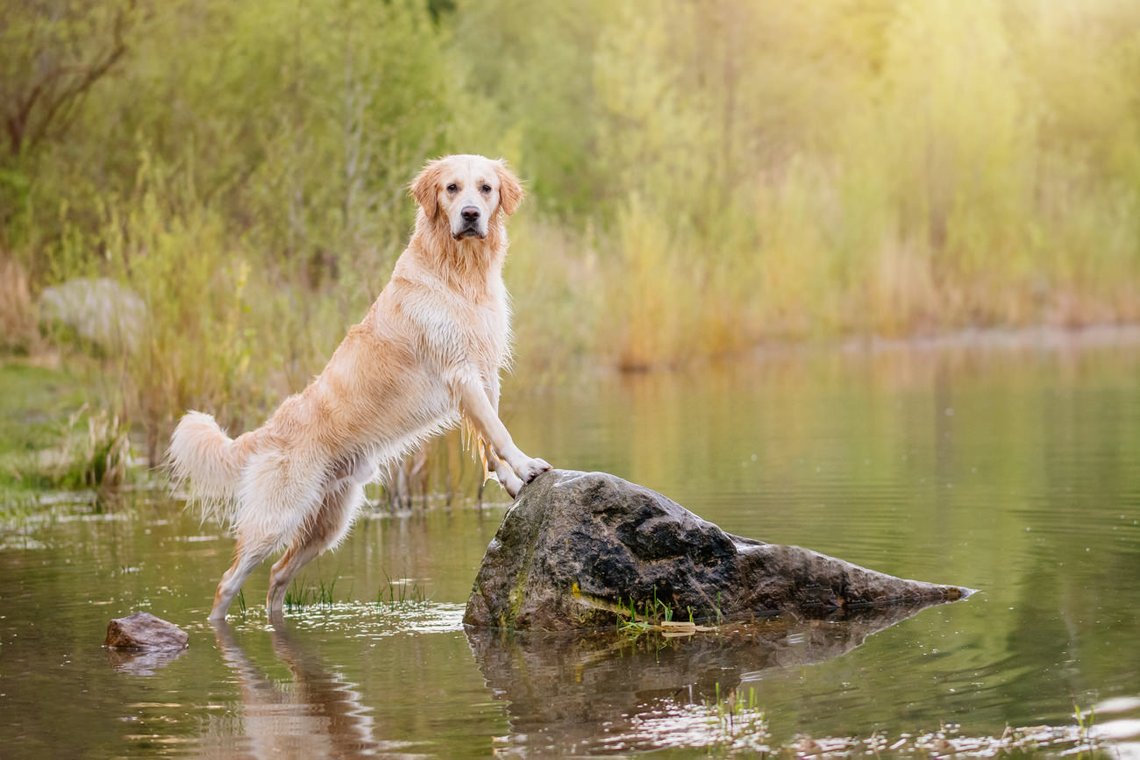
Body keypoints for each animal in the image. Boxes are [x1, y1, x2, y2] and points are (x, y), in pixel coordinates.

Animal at [167, 152, 551, 619]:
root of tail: (268, 430)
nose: (471, 215)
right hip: (275, 521)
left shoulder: (484, 371)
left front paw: (513, 483)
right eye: (452, 189)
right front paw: (528, 467)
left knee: (278, 576)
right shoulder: (460, 371)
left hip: (328, 524)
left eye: (486, 188)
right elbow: (499, 431)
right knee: (228, 583)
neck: (460, 272)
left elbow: (490, 439)